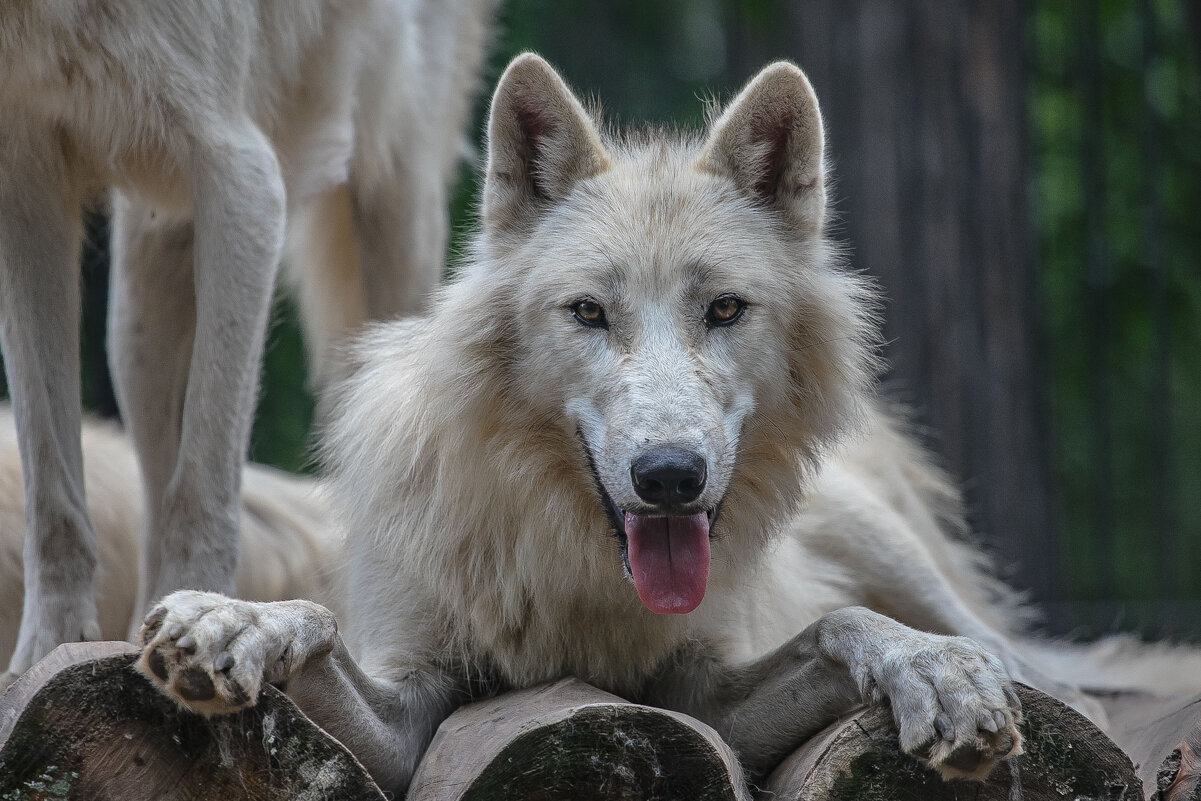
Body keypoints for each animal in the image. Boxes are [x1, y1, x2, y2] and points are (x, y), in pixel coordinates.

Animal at [0, 0, 492, 682]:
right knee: (150, 480)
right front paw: (41, 658)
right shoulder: (25, 176)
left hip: (398, 197)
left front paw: (204, 632)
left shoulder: (244, 178)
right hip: (139, 308)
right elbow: (52, 489)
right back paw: (141, 630)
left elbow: (203, 484)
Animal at [131, 53, 1201, 792]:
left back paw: (997, 669)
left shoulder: (703, 697)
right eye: (587, 312)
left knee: (1025, 656)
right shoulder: (408, 715)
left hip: (893, 548)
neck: (578, 580)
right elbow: (314, 621)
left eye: (723, 309)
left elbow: (839, 623)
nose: (670, 474)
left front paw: (931, 673)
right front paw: (231, 620)